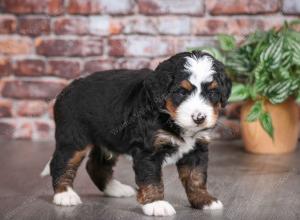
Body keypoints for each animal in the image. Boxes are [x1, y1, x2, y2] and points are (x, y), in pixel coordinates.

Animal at [42, 50, 232, 217]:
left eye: (212, 92)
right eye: (181, 92)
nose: (199, 118)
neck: (169, 117)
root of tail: (68, 88)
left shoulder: (197, 149)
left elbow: (196, 177)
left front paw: (203, 200)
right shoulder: (148, 150)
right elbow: (151, 178)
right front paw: (156, 204)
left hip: (108, 140)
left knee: (96, 166)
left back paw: (115, 189)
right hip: (74, 138)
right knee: (61, 163)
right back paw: (64, 195)